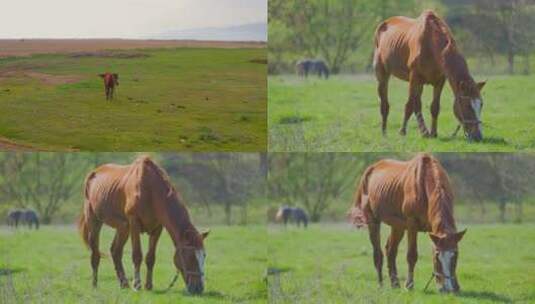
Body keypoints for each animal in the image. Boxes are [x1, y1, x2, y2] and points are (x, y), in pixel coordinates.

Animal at [78, 156, 210, 294]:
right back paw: (95, 285)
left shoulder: (158, 227)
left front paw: (149, 285)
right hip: (94, 221)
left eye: (204, 255)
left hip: (123, 228)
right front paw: (137, 284)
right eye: (190, 256)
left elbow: (150, 257)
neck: (151, 191)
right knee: (95, 254)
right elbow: (137, 255)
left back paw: (124, 283)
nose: (198, 288)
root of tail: (93, 173)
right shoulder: (134, 223)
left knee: (115, 251)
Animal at [350, 153, 466, 294]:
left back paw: (395, 283)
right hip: (373, 221)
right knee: (378, 254)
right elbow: (412, 255)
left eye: (455, 255)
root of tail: (370, 169)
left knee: (391, 250)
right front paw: (409, 285)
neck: (425, 182)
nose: (448, 289)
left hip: (398, 226)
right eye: (436, 256)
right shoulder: (412, 225)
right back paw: (381, 285)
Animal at [374, 10, 488, 141]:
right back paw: (384, 132)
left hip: (420, 84)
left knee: (417, 104)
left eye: (481, 104)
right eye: (467, 105)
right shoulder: (414, 78)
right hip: (383, 74)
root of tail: (383, 24)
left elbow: (434, 107)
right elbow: (409, 105)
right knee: (385, 103)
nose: (478, 136)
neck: (431, 44)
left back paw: (424, 131)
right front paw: (402, 131)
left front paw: (433, 133)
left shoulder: (439, 81)